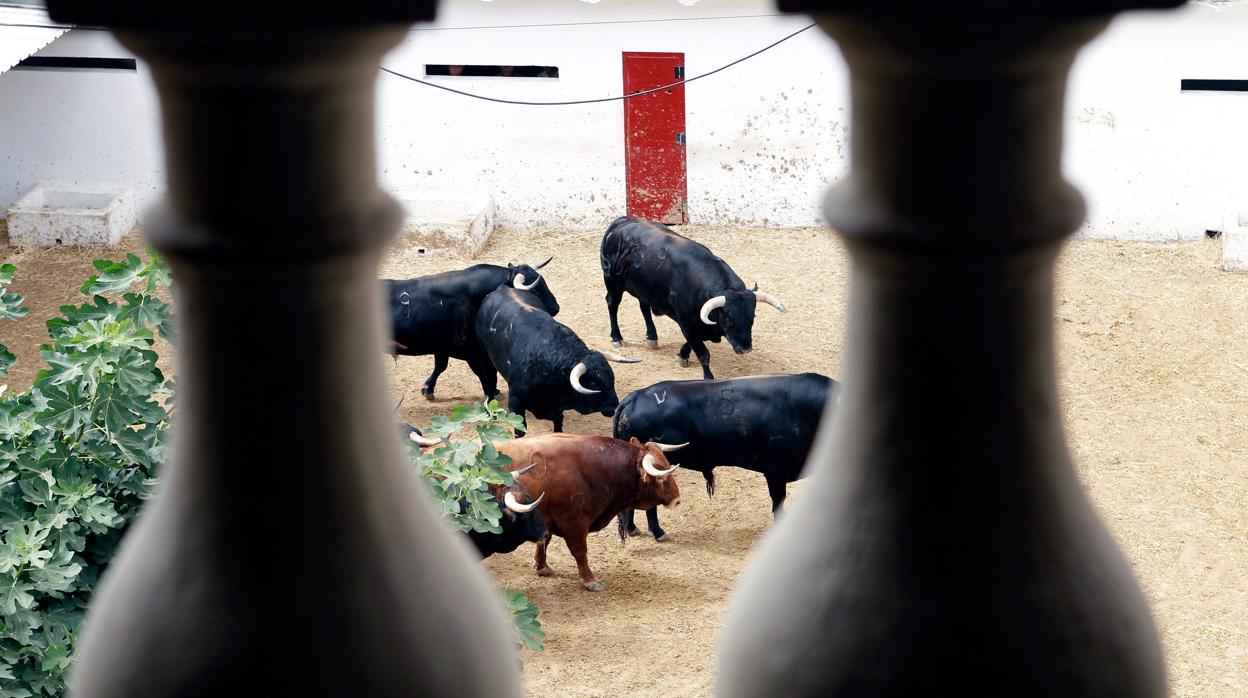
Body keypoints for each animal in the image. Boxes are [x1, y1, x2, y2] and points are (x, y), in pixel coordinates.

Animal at [381, 259, 554, 399]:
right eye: (534, 289)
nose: (555, 307)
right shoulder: (470, 349)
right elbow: (482, 373)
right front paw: (492, 393)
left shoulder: (442, 346)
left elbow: (440, 366)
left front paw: (428, 389)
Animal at [494, 434, 683, 591]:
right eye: (660, 477)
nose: (677, 499)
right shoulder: (574, 523)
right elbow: (580, 551)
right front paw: (589, 580)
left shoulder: (545, 520)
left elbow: (544, 541)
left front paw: (542, 567)